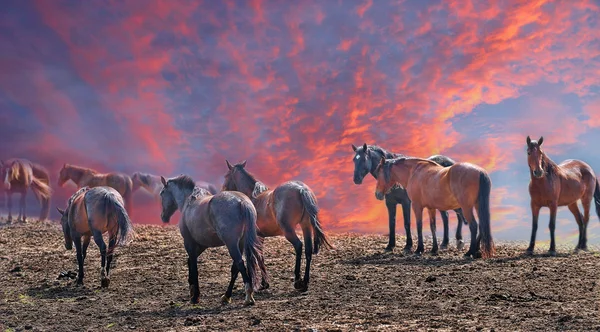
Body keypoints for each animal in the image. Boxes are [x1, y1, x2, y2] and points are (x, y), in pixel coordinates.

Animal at [158, 174, 266, 306]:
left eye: (162, 193)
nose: (163, 216)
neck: (189, 202)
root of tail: (242, 202)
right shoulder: (202, 244)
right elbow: (189, 262)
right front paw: (192, 291)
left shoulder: (189, 242)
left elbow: (194, 266)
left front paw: (195, 296)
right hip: (240, 244)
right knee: (235, 268)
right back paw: (226, 296)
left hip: (231, 244)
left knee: (240, 264)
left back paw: (248, 296)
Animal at [221, 161, 332, 294]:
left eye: (226, 176)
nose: (223, 191)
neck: (252, 198)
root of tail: (301, 189)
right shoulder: (260, 237)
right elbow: (260, 256)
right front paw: (264, 283)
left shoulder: (254, 237)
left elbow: (258, 257)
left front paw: (263, 283)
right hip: (306, 226)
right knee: (308, 250)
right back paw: (305, 283)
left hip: (288, 230)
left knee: (298, 246)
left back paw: (297, 281)